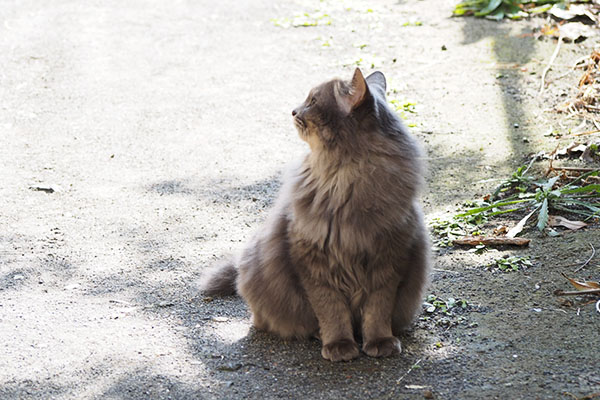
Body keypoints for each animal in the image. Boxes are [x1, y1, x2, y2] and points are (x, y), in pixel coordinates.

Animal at [202, 69, 432, 362]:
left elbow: (377, 312)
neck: (346, 180)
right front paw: (339, 345)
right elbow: (332, 311)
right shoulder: (313, 265)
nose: (293, 110)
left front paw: (380, 342)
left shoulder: (388, 262)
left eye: (312, 101)